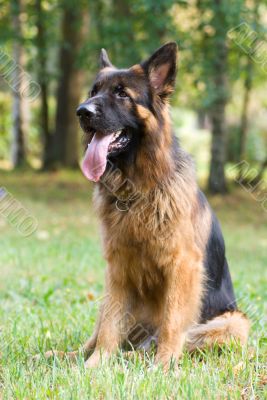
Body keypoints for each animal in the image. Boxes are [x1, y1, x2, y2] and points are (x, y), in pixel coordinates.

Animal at [45, 42, 249, 370]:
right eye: (93, 91)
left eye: (122, 94)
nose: (81, 111)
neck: (137, 190)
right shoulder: (117, 270)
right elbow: (109, 326)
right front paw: (95, 365)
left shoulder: (182, 267)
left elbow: (172, 322)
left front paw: (163, 366)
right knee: (100, 332)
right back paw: (70, 356)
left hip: (234, 323)